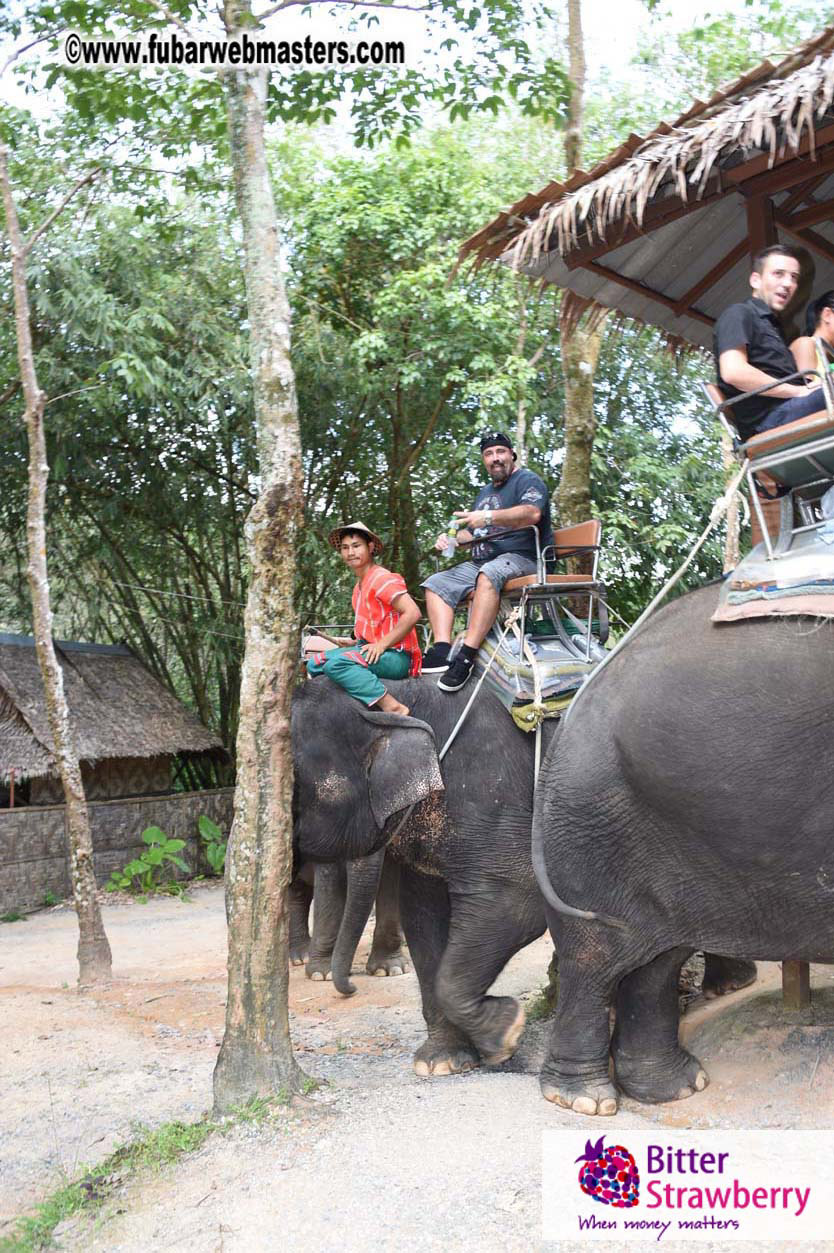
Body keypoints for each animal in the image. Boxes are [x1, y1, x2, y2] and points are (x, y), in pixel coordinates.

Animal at [288, 851, 407, 994]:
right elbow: (329, 875)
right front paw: (323, 974)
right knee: (296, 889)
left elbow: (391, 873)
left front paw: (389, 970)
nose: (352, 985)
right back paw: (302, 957)